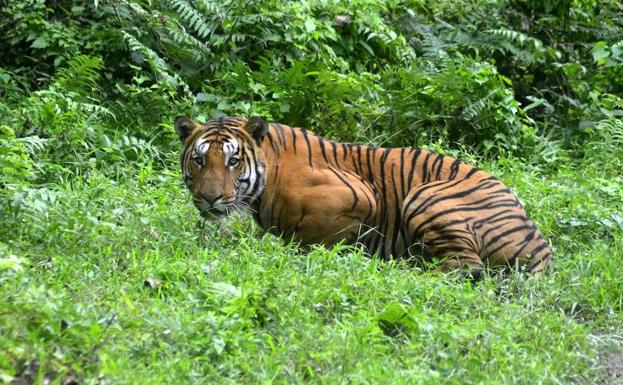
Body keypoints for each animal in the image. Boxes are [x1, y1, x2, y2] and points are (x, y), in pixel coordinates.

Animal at [173, 114, 552, 276]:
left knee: (466, 266)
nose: (209, 198)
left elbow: (312, 238)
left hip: (425, 195)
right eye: (199, 159)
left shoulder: (360, 196)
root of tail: (540, 244)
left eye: (233, 161)